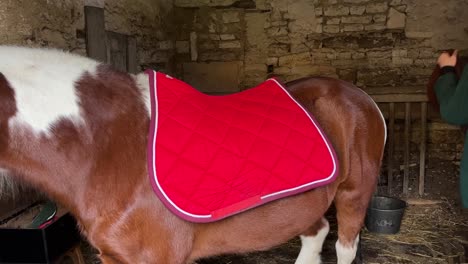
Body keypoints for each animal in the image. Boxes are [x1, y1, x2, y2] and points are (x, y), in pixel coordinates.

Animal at [0, 46, 386, 264]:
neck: (108, 148)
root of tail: (358, 96)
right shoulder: (113, 256)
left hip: (354, 196)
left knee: (344, 247)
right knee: (316, 234)